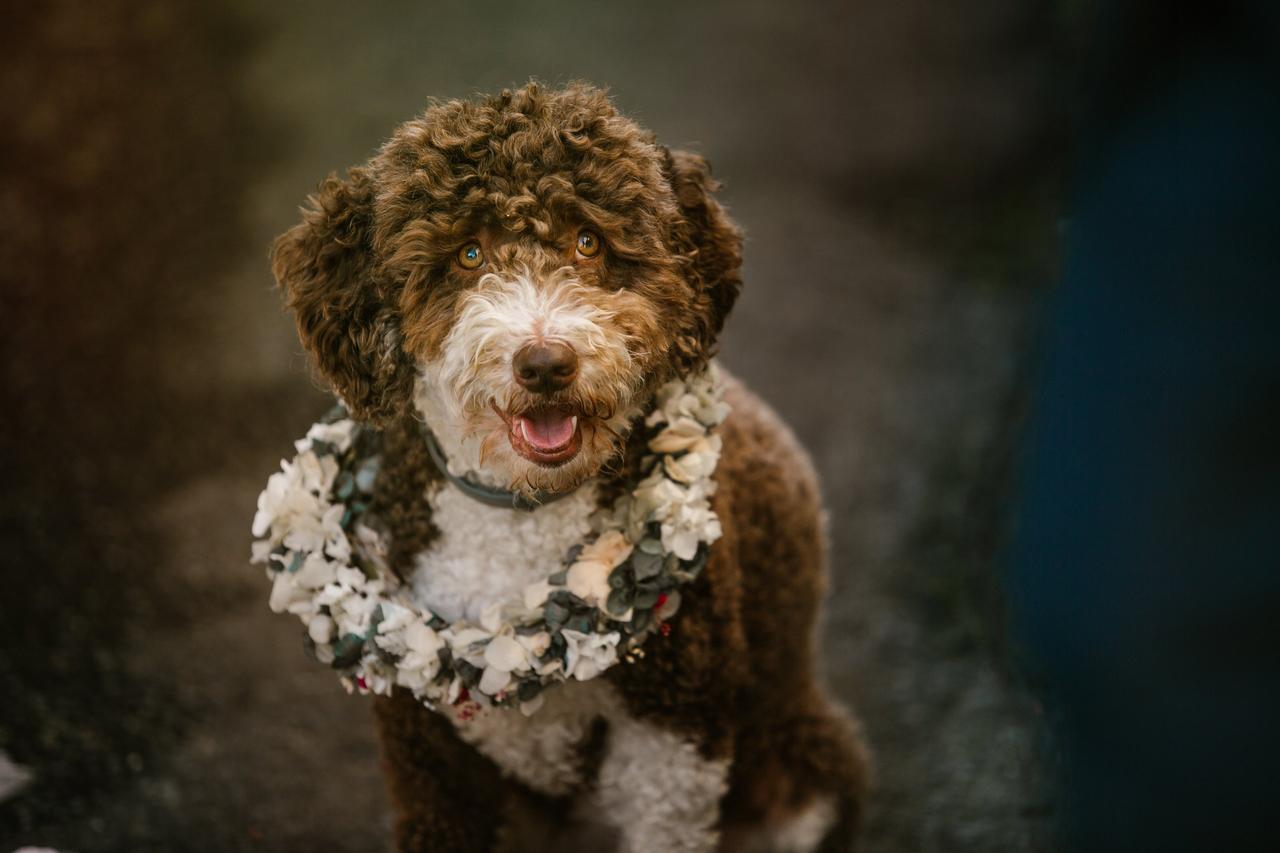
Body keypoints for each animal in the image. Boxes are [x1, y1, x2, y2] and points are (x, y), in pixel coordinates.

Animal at [270, 81, 870, 850]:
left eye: (589, 241)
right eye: (469, 253)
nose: (546, 362)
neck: (520, 513)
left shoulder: (675, 736)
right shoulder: (424, 747)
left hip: (797, 772)